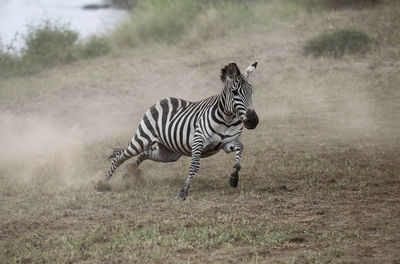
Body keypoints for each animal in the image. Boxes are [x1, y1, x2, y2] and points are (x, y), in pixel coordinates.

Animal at [104, 60, 260, 199]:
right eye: (234, 92)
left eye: (251, 91)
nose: (253, 121)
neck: (227, 119)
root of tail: (162, 100)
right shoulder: (199, 140)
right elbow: (194, 165)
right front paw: (183, 191)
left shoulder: (228, 143)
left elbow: (240, 148)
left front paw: (234, 177)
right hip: (142, 139)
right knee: (120, 157)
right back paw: (103, 184)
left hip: (169, 153)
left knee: (146, 153)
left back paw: (129, 172)